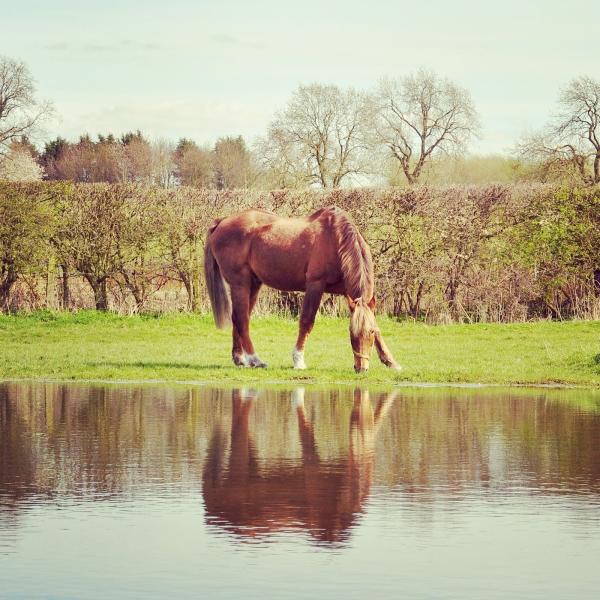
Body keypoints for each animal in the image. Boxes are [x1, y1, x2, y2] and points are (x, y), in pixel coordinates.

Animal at [204, 209, 400, 372]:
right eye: (351, 334)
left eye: (370, 333)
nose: (361, 368)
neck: (336, 240)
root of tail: (222, 222)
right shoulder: (315, 285)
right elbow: (307, 321)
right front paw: (298, 360)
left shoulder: (349, 294)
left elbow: (374, 321)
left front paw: (390, 361)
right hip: (240, 284)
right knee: (242, 320)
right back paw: (255, 359)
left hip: (253, 284)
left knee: (238, 318)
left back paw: (240, 359)